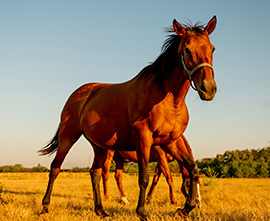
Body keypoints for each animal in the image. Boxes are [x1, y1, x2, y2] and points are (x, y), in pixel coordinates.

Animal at [39, 16, 217, 219]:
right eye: (187, 49)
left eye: (212, 48)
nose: (208, 89)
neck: (170, 101)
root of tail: (80, 93)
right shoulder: (144, 138)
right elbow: (145, 177)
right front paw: (143, 212)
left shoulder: (172, 141)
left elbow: (192, 169)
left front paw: (185, 208)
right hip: (68, 136)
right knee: (55, 168)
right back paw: (45, 206)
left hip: (100, 146)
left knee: (95, 173)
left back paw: (101, 211)